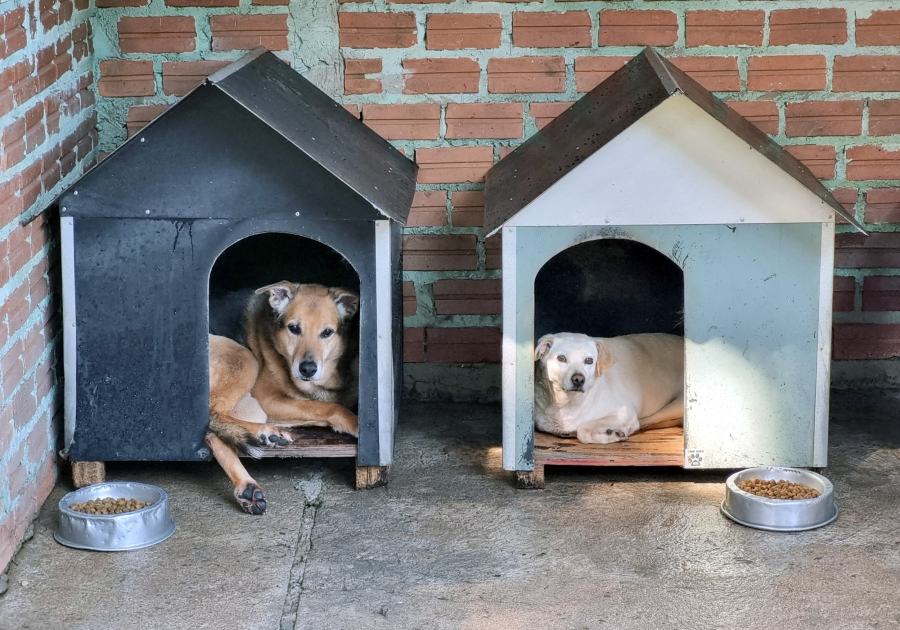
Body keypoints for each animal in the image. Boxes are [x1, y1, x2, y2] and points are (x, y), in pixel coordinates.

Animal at [207, 284, 358, 516]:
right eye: (293, 328)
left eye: (327, 332)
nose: (307, 369)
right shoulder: (268, 400)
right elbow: (332, 408)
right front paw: (356, 424)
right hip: (244, 358)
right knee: (214, 414)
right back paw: (265, 433)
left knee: (212, 432)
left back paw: (247, 488)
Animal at [536, 334, 684, 446]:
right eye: (561, 358)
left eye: (589, 360)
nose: (578, 379)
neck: (567, 403)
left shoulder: (625, 412)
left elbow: (582, 430)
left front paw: (612, 434)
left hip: (676, 406)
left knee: (644, 423)